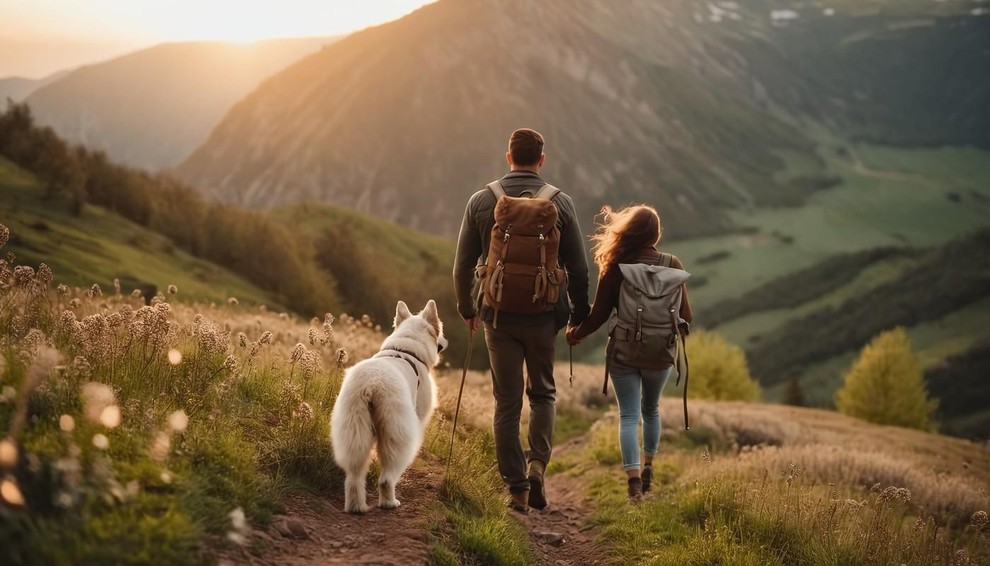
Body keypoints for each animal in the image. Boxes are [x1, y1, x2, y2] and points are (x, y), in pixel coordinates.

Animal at [330, 302, 446, 516]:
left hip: (352, 430)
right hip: (396, 436)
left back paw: (356, 507)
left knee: (354, 476)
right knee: (386, 478)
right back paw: (390, 503)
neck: (406, 348)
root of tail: (371, 385)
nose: (444, 340)